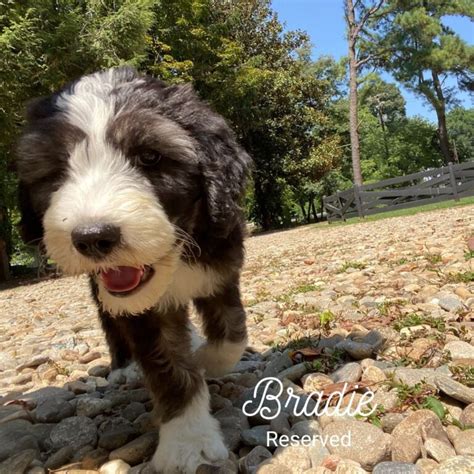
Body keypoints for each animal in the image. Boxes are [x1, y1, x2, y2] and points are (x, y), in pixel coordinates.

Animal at [15, 67, 252, 474]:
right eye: (57, 169)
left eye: (150, 156)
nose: (93, 237)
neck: (174, 256)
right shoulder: (140, 311)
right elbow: (169, 368)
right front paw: (188, 442)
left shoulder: (221, 269)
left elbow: (232, 331)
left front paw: (208, 360)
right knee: (110, 322)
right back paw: (124, 367)